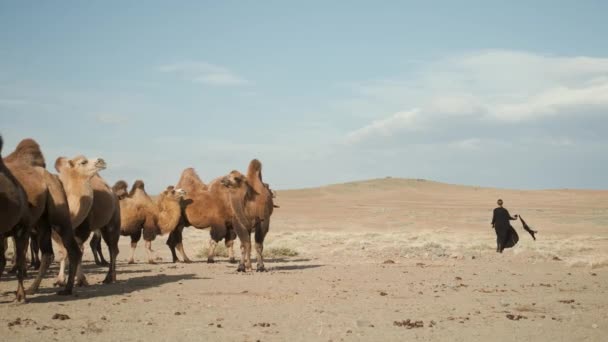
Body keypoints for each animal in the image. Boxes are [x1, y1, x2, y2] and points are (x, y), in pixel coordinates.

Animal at [1, 138, 81, 300]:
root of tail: (54, 177)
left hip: (58, 214)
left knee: (71, 248)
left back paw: (67, 289)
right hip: (41, 221)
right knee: (47, 253)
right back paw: (32, 288)